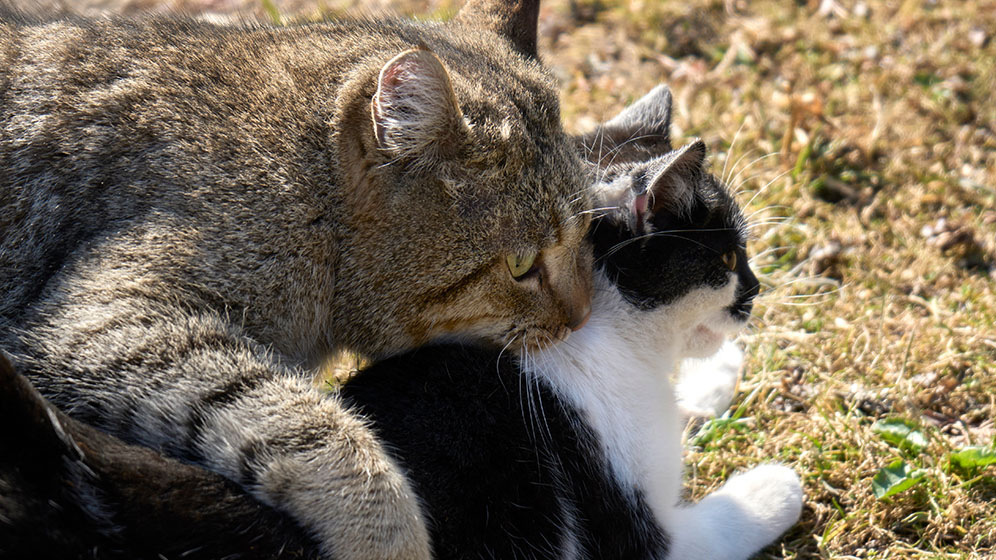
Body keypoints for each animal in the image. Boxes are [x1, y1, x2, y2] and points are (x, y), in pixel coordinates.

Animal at [0, 2, 592, 556]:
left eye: (584, 234)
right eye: (521, 266)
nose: (584, 315)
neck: (308, 193)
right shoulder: (97, 319)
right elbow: (301, 427)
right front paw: (385, 534)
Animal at [338, 85, 804, 556]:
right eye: (728, 259)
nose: (755, 290)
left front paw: (715, 375)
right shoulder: (638, 537)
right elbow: (721, 523)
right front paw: (778, 485)